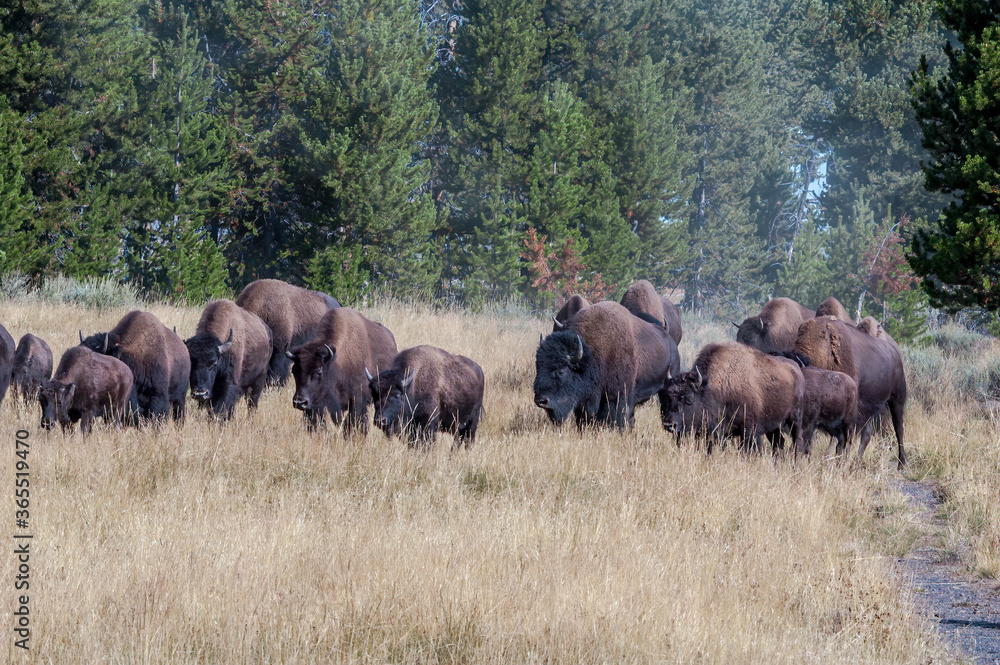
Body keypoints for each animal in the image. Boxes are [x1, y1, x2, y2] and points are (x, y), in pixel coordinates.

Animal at [532, 300, 680, 428]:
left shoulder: (617, 397)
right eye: (538, 366)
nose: (541, 401)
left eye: (561, 370)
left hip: (666, 385)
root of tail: (670, 340)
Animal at [660, 340, 808, 454]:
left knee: (797, 441)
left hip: (795, 418)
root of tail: (796, 370)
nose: (669, 424)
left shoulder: (749, 430)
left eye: (689, 399)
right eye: (669, 397)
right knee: (778, 443)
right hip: (774, 425)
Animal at [796, 316, 908, 466]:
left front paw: (832, 458)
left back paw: (902, 462)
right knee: (867, 434)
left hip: (897, 398)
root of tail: (895, 352)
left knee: (899, 428)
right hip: (869, 408)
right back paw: (857, 461)